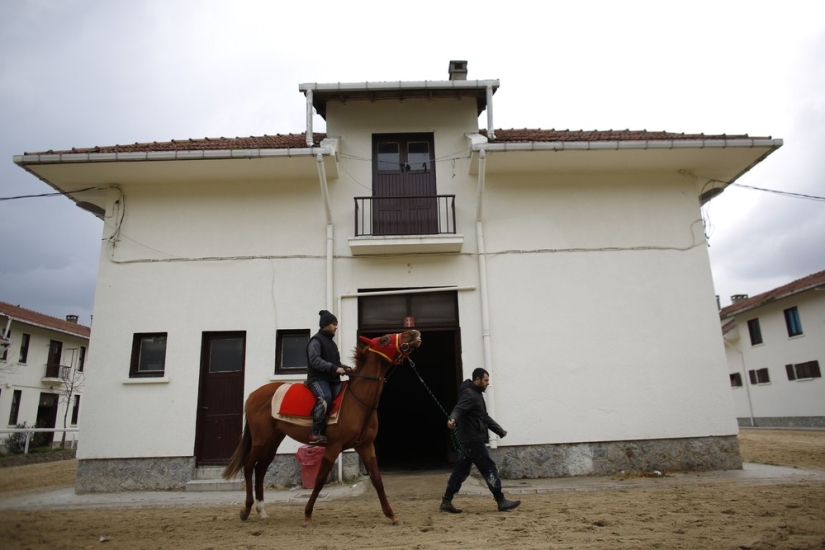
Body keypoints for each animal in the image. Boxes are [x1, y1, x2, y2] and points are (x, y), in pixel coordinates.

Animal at [222, 330, 422, 528]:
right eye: (384, 339)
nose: (413, 333)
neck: (356, 401)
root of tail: (252, 396)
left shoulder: (365, 446)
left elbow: (377, 479)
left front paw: (392, 515)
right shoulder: (334, 446)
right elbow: (319, 480)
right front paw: (307, 515)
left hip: (273, 440)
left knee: (260, 469)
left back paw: (261, 510)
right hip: (260, 440)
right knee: (249, 466)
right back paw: (246, 509)